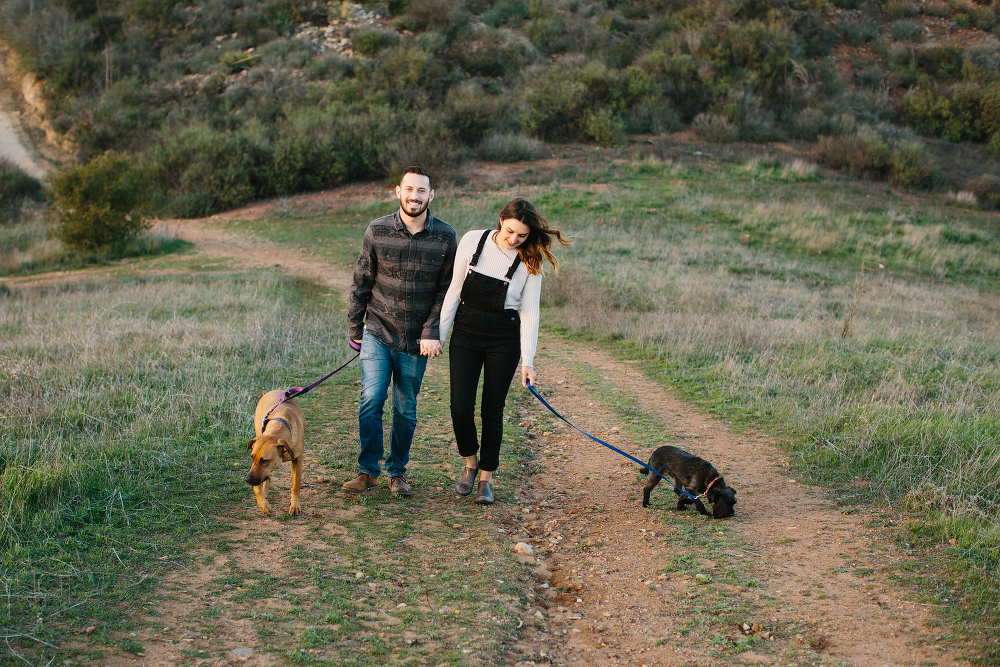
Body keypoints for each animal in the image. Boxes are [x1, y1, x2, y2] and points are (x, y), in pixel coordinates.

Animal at [246, 388, 304, 520]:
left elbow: (296, 483)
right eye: (252, 457)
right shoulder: (255, 472)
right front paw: (263, 504)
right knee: (267, 479)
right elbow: (256, 488)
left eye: (265, 460)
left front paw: (295, 505)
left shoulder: (298, 458)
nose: (247, 479)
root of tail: (276, 390)